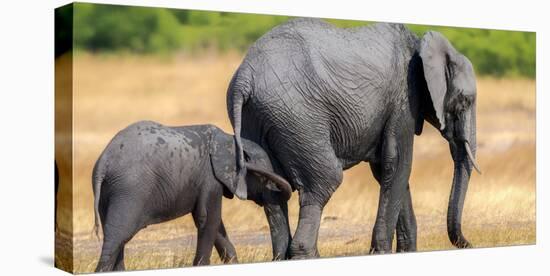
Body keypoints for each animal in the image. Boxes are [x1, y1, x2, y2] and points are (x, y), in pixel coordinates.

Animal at [92, 121, 294, 272]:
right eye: (264, 178)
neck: (231, 139)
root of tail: (103, 162)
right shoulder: (210, 177)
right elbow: (209, 219)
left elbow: (211, 222)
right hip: (129, 191)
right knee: (118, 236)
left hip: (110, 192)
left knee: (117, 237)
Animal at [226, 18, 480, 258]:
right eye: (465, 101)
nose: (468, 243)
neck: (421, 44)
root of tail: (244, 78)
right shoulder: (404, 96)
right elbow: (398, 163)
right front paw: (382, 252)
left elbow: (385, 169)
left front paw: (406, 252)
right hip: (296, 116)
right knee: (324, 180)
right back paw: (305, 255)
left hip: (258, 118)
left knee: (272, 190)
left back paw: (282, 257)